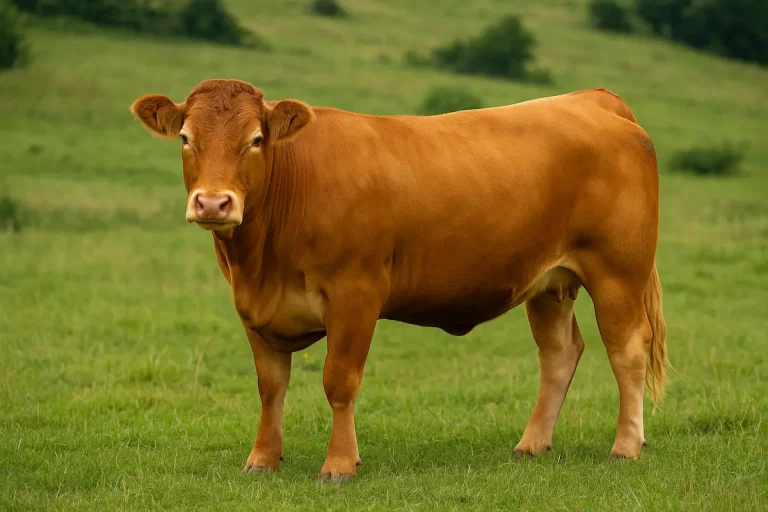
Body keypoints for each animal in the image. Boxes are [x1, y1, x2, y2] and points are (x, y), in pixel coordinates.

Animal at [130, 79, 667, 480]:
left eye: (256, 140)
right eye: (185, 138)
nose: (213, 203)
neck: (261, 260)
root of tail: (593, 99)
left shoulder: (356, 293)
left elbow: (339, 381)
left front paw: (339, 464)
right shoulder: (254, 309)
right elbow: (270, 387)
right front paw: (262, 459)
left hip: (618, 272)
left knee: (626, 350)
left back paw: (625, 445)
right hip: (549, 283)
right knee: (559, 352)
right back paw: (531, 444)